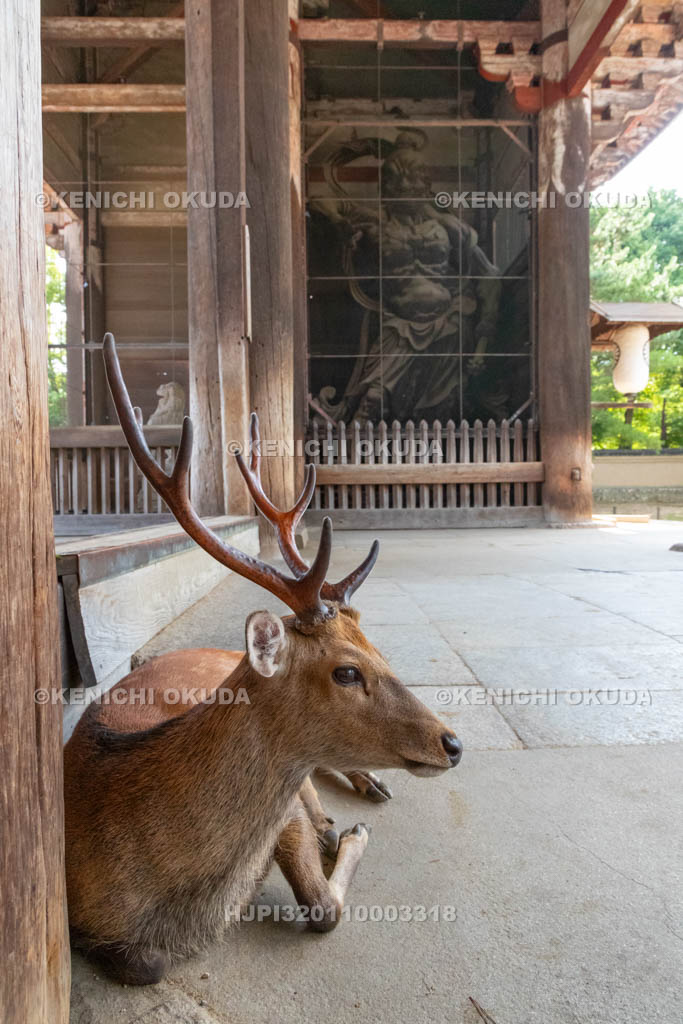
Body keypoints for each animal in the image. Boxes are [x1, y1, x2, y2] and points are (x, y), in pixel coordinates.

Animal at [63, 333, 463, 987]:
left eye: (378, 648)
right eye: (346, 670)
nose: (452, 744)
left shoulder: (284, 816)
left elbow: (321, 903)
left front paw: (346, 833)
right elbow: (150, 962)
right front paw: (344, 833)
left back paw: (367, 786)